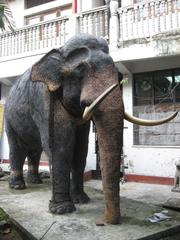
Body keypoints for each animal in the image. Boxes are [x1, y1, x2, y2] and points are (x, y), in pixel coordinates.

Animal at [4, 32, 177, 224]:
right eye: (80, 69)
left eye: (119, 76)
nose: (107, 222)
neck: (61, 50)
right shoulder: (44, 99)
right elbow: (61, 146)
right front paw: (63, 210)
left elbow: (80, 149)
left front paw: (82, 200)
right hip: (9, 117)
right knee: (17, 148)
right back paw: (18, 186)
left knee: (35, 150)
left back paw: (36, 182)